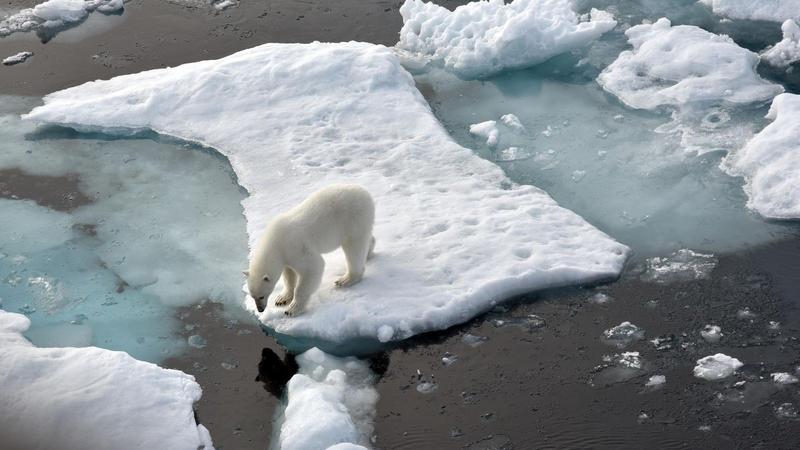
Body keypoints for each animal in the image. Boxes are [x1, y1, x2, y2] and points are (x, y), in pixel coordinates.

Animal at [247, 185, 376, 314]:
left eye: (261, 296)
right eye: (252, 296)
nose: (260, 310)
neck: (275, 241)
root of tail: (365, 193)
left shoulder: (295, 246)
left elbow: (313, 267)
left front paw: (292, 308)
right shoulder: (285, 256)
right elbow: (289, 275)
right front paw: (282, 299)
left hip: (353, 218)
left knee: (354, 248)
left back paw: (346, 279)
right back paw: (368, 252)